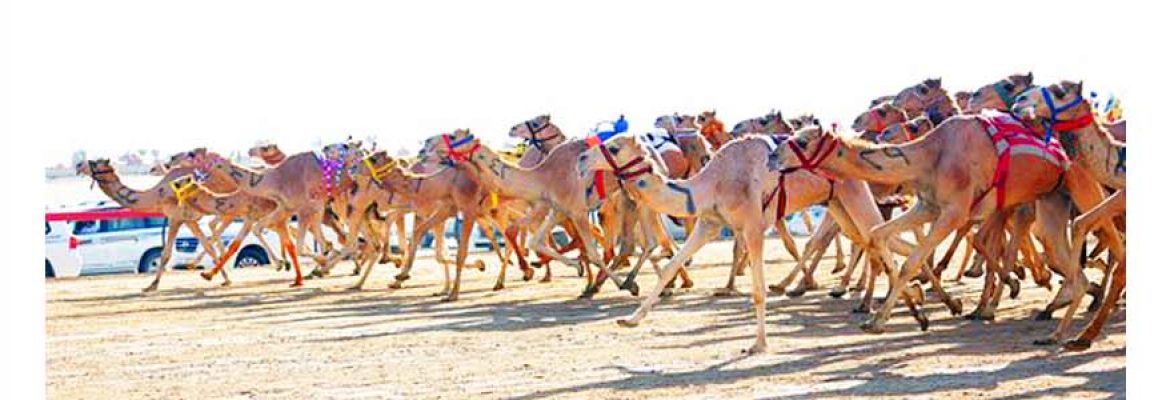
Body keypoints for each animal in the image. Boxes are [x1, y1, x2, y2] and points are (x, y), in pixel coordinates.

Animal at [76, 160, 231, 292]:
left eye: (95, 163)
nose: (78, 165)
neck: (158, 194)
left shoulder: (175, 218)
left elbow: (165, 253)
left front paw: (152, 285)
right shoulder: (189, 220)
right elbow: (209, 247)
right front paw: (222, 279)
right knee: (216, 228)